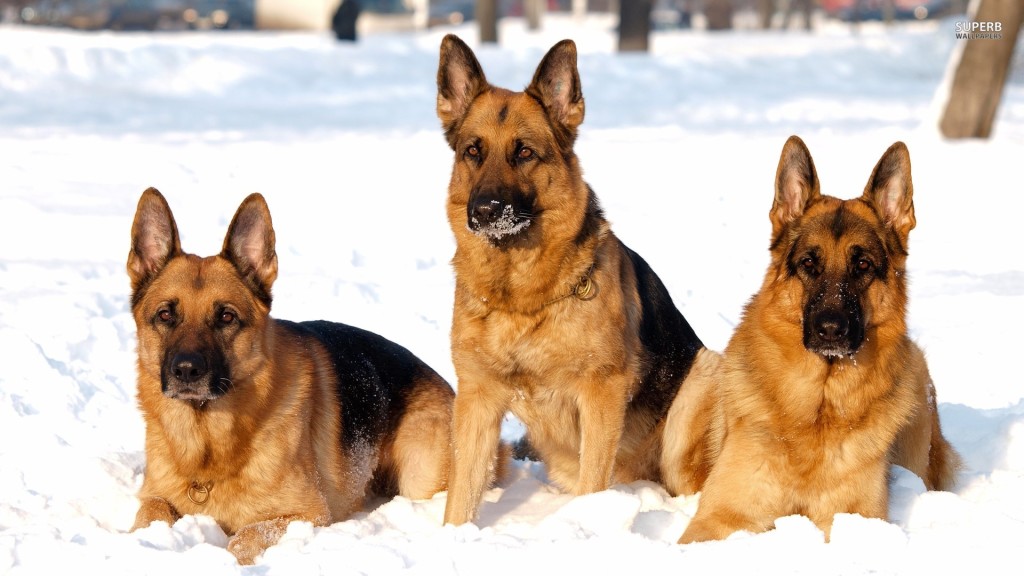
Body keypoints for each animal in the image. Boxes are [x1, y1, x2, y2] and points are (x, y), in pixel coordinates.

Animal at [130, 187, 458, 561]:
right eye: (165, 315)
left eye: (227, 317)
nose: (186, 370)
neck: (208, 446)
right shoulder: (154, 497)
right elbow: (151, 515)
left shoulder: (306, 515)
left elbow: (244, 537)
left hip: (420, 475)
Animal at [434, 32, 712, 524]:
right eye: (473, 151)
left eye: (524, 152)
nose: (483, 211)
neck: (521, 298)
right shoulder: (477, 401)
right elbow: (461, 495)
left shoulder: (601, 393)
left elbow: (592, 485)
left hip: (701, 379)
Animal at [663, 136, 958, 541]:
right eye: (808, 264)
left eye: (862, 265)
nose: (830, 329)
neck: (819, 407)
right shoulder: (721, 518)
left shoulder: (854, 520)